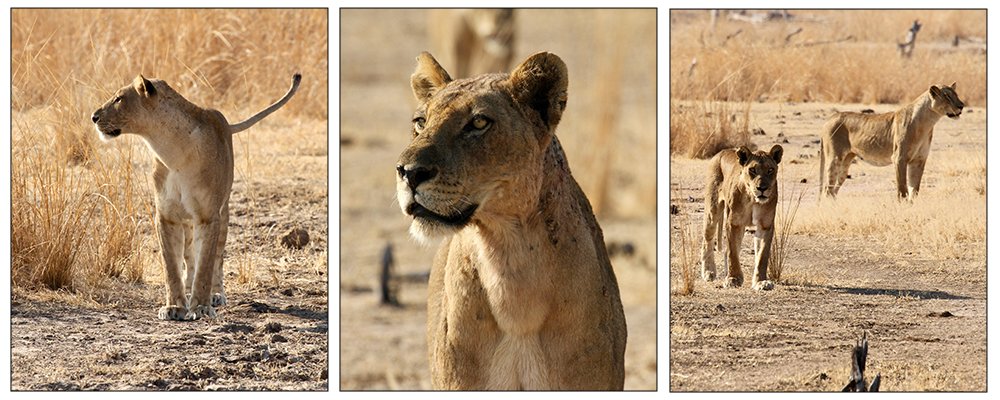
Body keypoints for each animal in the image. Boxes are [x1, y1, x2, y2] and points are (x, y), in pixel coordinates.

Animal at [91, 72, 300, 320]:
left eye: (119, 98)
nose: (93, 117)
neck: (170, 151)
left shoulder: (208, 216)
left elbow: (206, 265)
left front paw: (201, 306)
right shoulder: (167, 216)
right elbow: (171, 266)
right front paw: (174, 307)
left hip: (224, 212)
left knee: (217, 257)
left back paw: (215, 295)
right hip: (187, 221)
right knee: (189, 256)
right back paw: (188, 287)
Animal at [700, 145, 783, 291]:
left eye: (770, 170)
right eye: (752, 170)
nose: (762, 188)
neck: (752, 198)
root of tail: (721, 152)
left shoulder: (765, 226)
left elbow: (762, 255)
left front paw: (761, 282)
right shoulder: (734, 224)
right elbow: (733, 253)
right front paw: (733, 279)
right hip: (712, 210)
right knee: (707, 241)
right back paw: (708, 272)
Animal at [819, 83, 964, 199]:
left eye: (956, 94)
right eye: (947, 96)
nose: (961, 106)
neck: (927, 123)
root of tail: (829, 119)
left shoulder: (919, 160)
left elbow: (914, 190)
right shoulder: (899, 158)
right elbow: (902, 189)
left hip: (846, 162)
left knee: (834, 190)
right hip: (835, 158)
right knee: (828, 189)